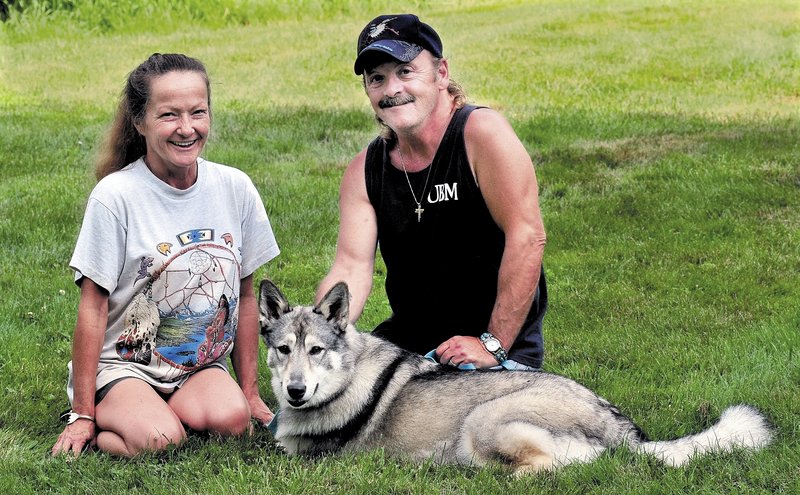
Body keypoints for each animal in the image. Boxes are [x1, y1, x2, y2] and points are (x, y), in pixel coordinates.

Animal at [260, 280, 772, 474]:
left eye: (316, 351)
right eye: (284, 350)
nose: (296, 391)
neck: (345, 380)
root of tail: (621, 429)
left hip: (482, 422)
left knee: (553, 467)